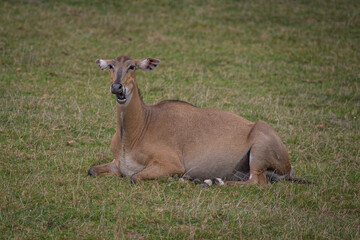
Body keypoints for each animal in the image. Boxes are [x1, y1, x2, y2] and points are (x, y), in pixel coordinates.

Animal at [88, 55, 310, 186]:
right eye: (111, 66)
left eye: (132, 66)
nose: (118, 88)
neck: (137, 130)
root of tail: (288, 167)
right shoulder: (117, 164)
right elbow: (92, 170)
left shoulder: (171, 164)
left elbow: (134, 177)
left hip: (259, 151)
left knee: (257, 182)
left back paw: (210, 181)